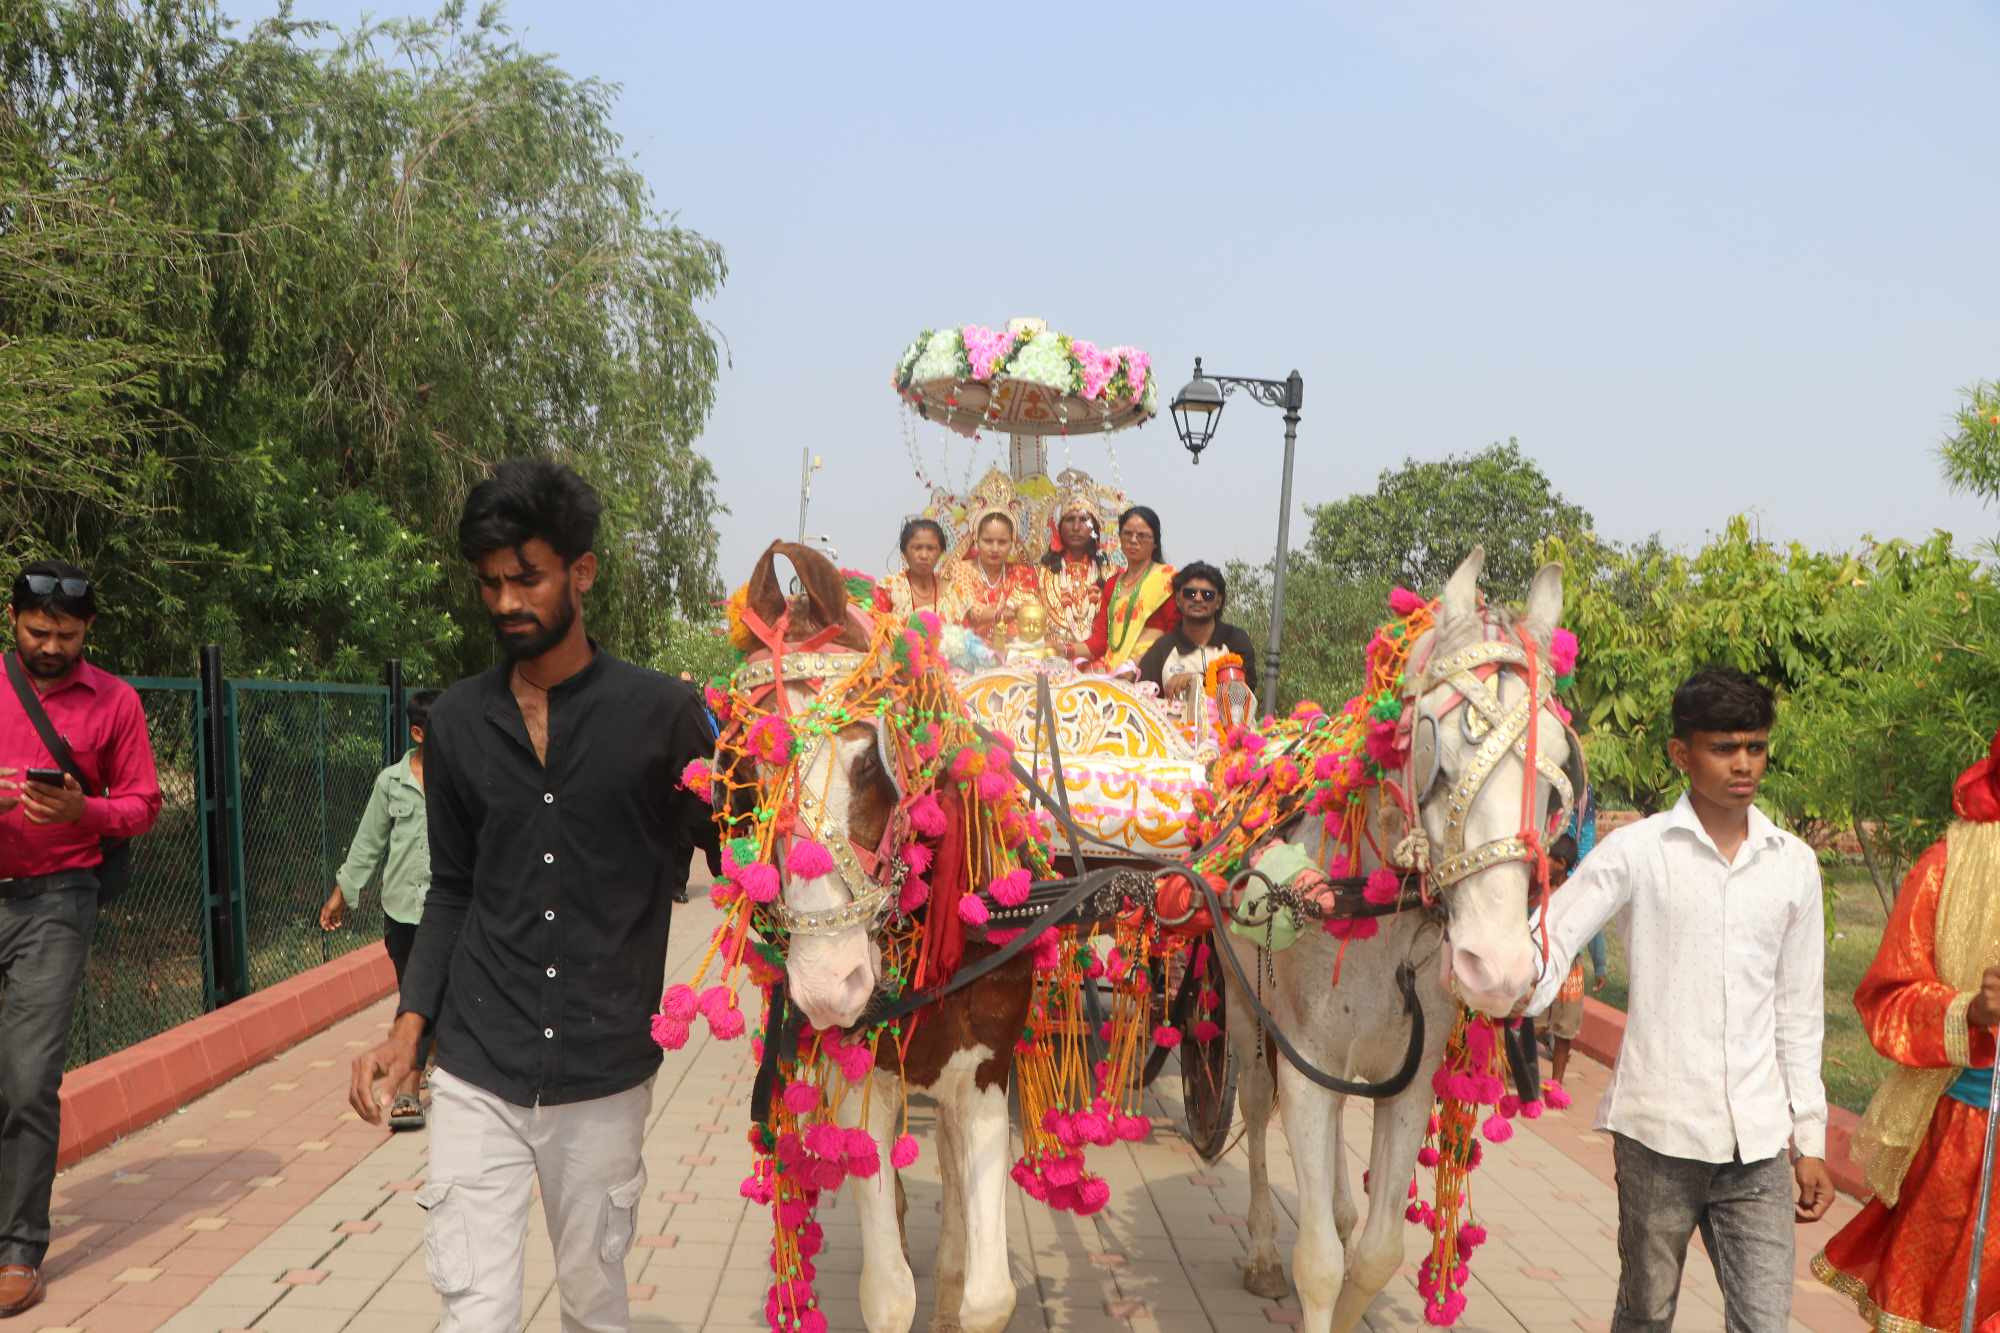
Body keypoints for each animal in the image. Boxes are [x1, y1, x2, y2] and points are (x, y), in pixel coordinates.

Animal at [1216, 544, 1576, 1320]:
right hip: (1241, 1002)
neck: (1383, 914)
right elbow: (1319, 1262)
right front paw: (1298, 1258)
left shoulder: (1410, 1080)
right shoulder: (1304, 1057)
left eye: (1561, 762)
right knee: (1256, 1106)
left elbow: (1378, 1254)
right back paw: (1258, 1249)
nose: (1497, 967)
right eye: (1436, 748)